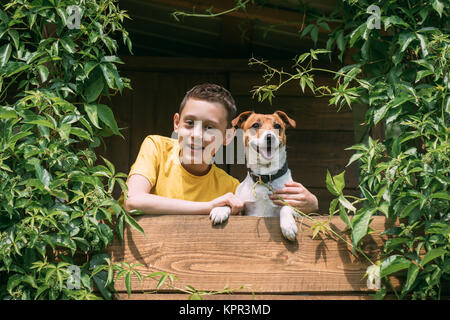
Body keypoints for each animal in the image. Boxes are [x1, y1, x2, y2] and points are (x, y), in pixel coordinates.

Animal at [209, 110, 300, 240]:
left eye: (277, 126)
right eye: (256, 125)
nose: (269, 137)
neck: (265, 176)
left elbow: (287, 207)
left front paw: (288, 225)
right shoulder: (244, 211)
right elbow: (232, 203)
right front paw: (220, 210)